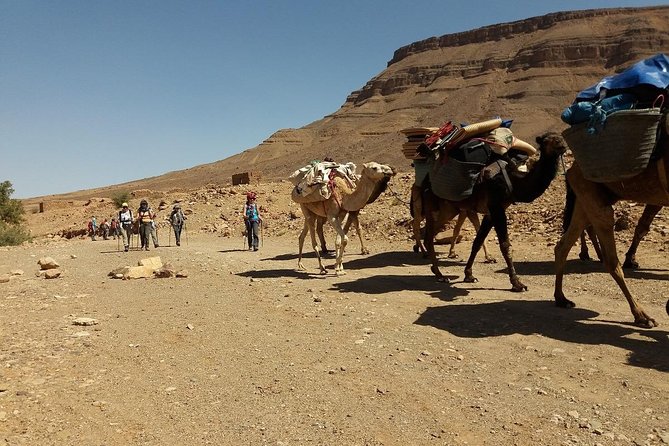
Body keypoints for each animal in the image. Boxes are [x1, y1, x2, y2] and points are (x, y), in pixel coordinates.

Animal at [423, 132, 568, 290]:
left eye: (560, 137)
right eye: (546, 140)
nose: (562, 145)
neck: (514, 181)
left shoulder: (492, 212)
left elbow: (478, 241)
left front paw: (469, 275)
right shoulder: (496, 206)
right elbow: (505, 245)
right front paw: (517, 283)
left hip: (449, 208)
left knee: (430, 233)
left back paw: (436, 270)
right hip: (434, 204)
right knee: (428, 235)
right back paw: (440, 275)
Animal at [554, 124, 669, 327]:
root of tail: (571, 169)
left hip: (585, 198)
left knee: (564, 244)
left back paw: (561, 298)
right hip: (594, 198)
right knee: (610, 259)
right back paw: (642, 315)